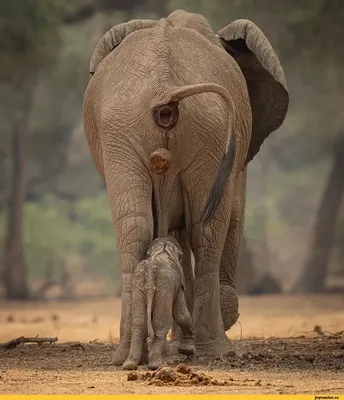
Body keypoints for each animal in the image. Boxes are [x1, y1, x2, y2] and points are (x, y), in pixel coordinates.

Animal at [122, 236, 195, 370]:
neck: (163, 248)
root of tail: (150, 273)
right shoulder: (177, 284)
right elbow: (180, 314)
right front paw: (189, 350)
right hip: (163, 287)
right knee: (161, 323)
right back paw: (157, 365)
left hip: (138, 285)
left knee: (138, 322)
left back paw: (129, 365)